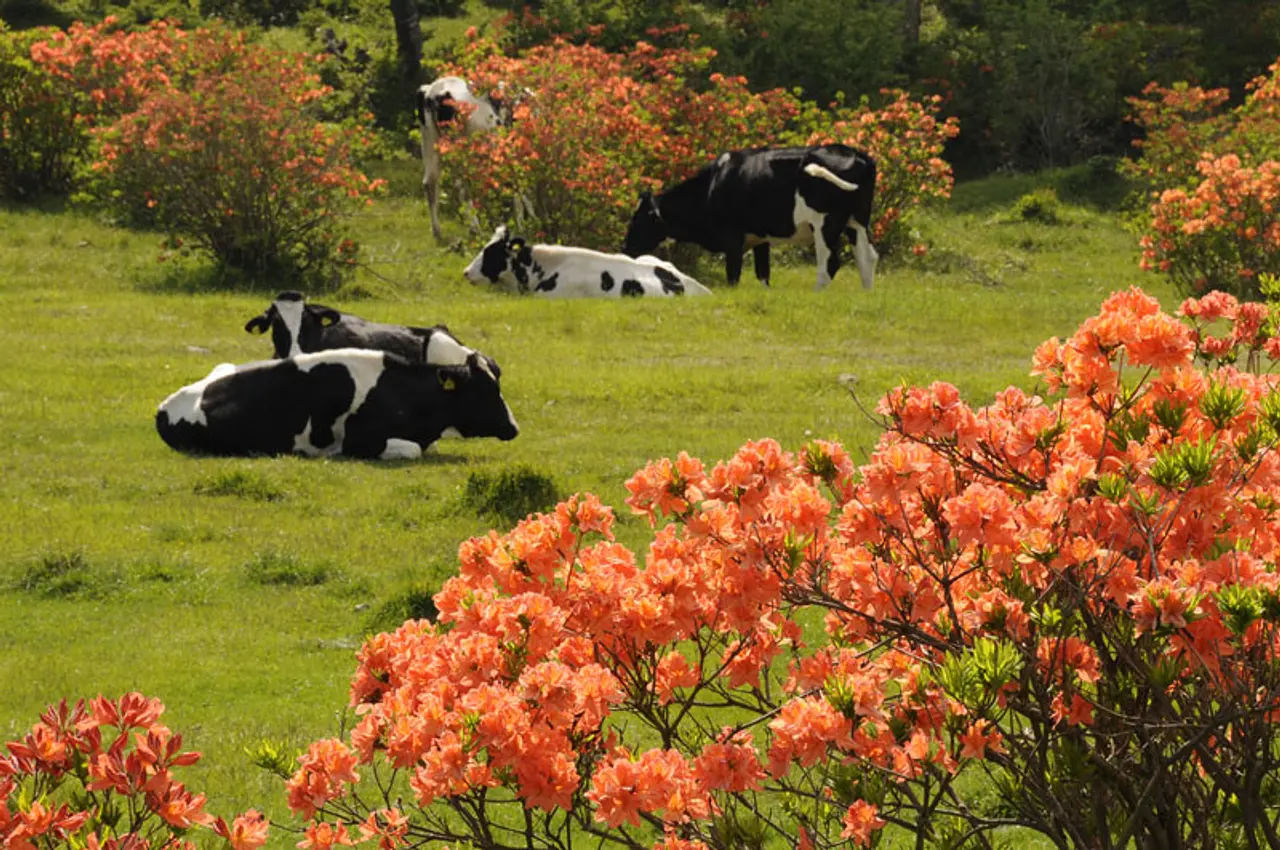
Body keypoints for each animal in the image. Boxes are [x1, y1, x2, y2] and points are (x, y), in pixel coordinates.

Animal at [419, 75, 519, 240]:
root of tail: (434, 91)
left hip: (431, 144)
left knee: (430, 183)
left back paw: (437, 231)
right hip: (463, 147)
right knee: (463, 187)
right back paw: (475, 229)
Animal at [619, 144, 880, 290]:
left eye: (638, 220)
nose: (625, 248)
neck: (711, 187)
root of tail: (859, 155)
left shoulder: (732, 237)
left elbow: (733, 273)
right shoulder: (760, 237)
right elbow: (763, 273)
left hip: (825, 223)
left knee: (830, 262)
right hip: (856, 222)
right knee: (867, 258)